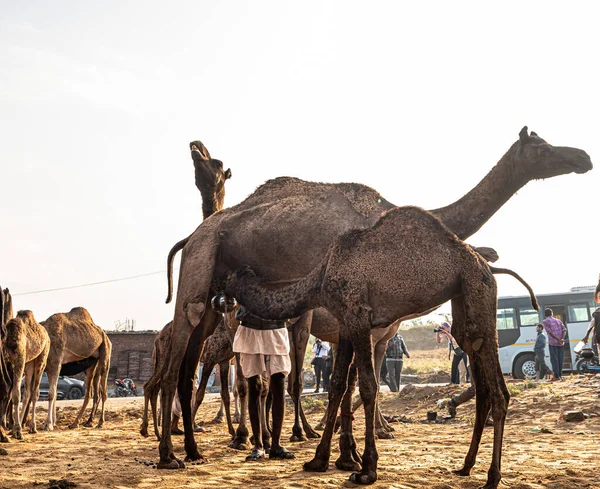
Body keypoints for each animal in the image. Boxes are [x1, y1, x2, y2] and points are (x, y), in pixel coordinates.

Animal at [2, 308, 50, 438]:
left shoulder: (19, 359)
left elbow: (15, 394)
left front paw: (17, 431)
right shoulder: (7, 362)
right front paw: (13, 428)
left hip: (41, 359)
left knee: (35, 392)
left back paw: (32, 427)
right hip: (29, 363)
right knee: (27, 392)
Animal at [224, 204, 540, 486]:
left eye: (230, 282)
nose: (228, 307)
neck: (321, 278)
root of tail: (487, 265)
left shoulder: (358, 316)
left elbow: (368, 386)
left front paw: (366, 470)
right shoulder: (346, 323)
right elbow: (337, 384)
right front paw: (319, 460)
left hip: (478, 289)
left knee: (498, 390)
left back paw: (492, 477)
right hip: (463, 299)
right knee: (477, 364)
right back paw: (466, 466)